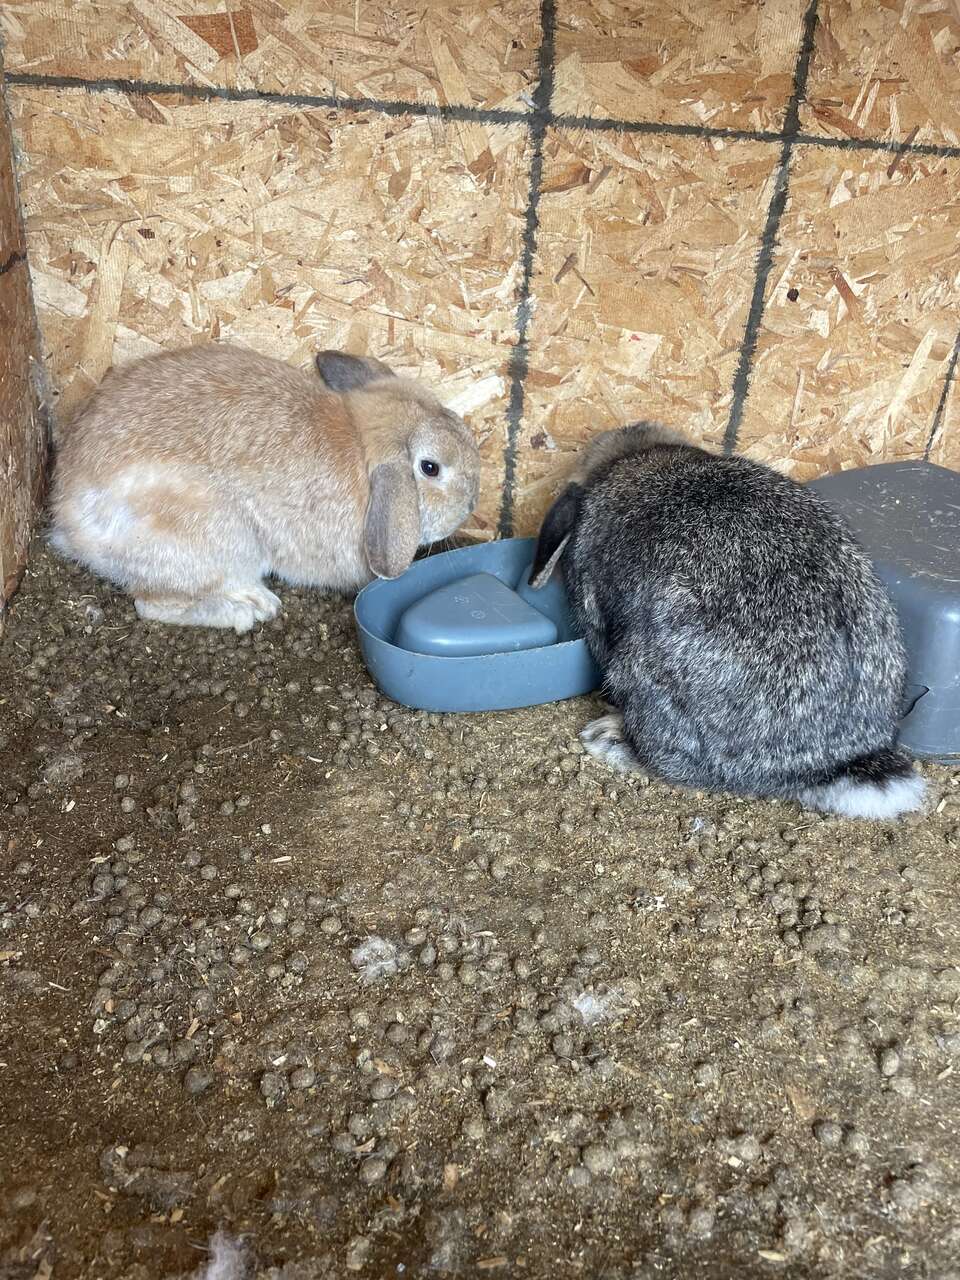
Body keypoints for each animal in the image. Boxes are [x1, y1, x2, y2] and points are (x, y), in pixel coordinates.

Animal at [48, 348, 481, 632]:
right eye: (430, 468)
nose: (472, 502)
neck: (361, 440)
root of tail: (69, 524)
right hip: (218, 539)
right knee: (151, 604)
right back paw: (248, 609)